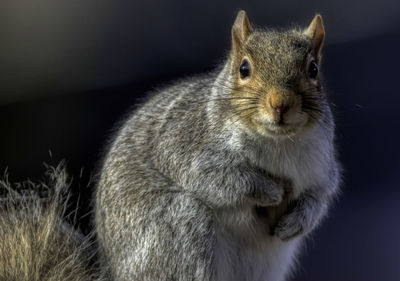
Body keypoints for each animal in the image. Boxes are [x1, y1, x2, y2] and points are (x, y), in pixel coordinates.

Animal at [0, 9, 340, 280]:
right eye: (244, 68)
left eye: (313, 69)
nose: (280, 104)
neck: (278, 143)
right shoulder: (187, 145)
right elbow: (223, 180)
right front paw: (270, 190)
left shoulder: (323, 168)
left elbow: (319, 197)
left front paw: (297, 221)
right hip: (180, 230)